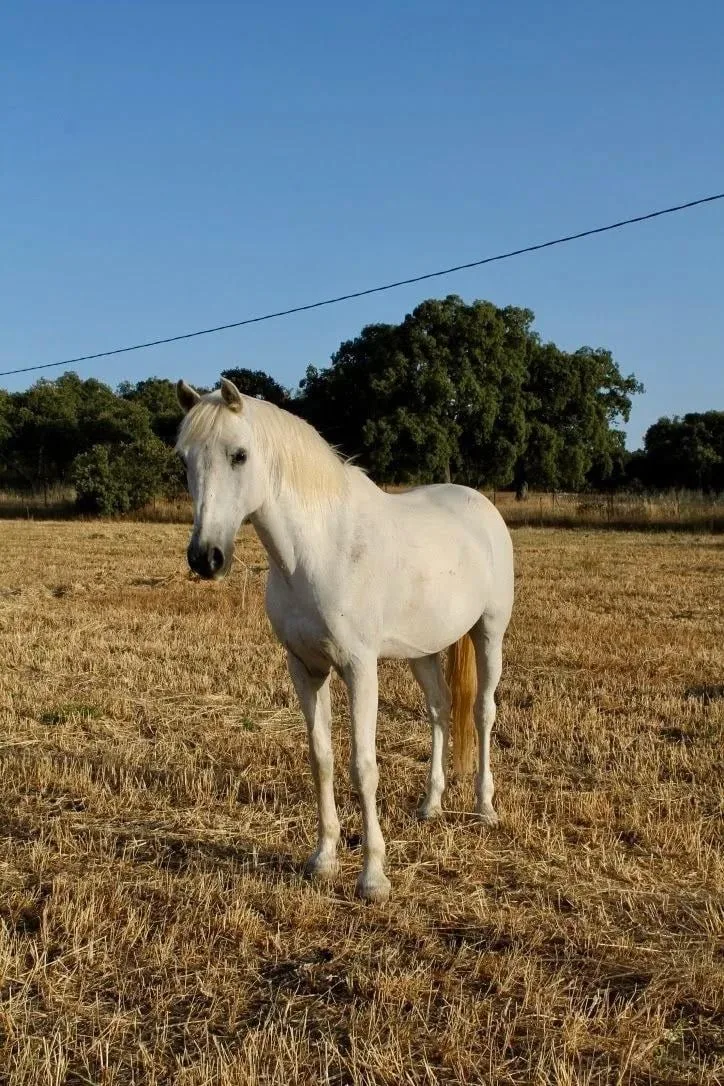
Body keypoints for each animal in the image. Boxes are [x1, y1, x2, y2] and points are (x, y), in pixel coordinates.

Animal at [175, 377, 514, 902]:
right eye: (184, 460)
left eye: (239, 455)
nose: (205, 558)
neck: (317, 550)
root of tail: (481, 505)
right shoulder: (305, 668)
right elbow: (322, 759)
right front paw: (323, 859)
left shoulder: (359, 669)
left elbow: (363, 766)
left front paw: (373, 877)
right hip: (423, 651)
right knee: (440, 710)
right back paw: (431, 805)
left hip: (489, 632)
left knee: (482, 712)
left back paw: (485, 808)